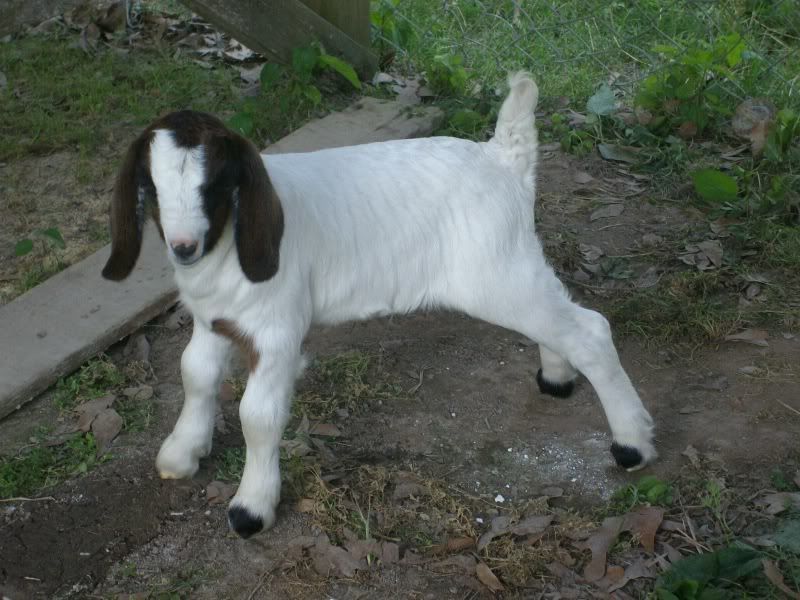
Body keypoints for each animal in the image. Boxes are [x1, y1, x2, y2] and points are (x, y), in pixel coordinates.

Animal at [102, 73, 655, 538]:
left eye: (214, 184)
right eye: (151, 188)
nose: (184, 247)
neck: (228, 246)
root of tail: (502, 157)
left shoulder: (278, 331)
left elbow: (257, 415)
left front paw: (250, 508)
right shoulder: (214, 319)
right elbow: (194, 374)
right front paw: (181, 453)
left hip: (496, 273)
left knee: (590, 329)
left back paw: (632, 444)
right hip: (513, 266)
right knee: (556, 319)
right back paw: (557, 378)